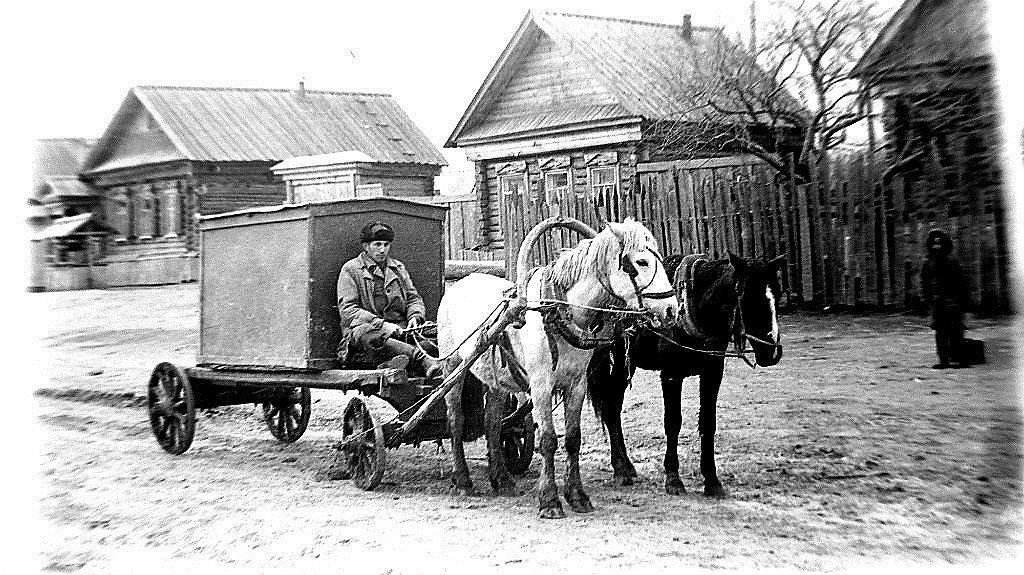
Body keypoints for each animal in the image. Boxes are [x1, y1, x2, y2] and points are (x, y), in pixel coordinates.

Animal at [436, 216, 675, 517]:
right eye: (641, 262)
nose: (673, 309)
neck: (558, 313)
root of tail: (460, 283)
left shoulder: (577, 385)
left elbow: (573, 438)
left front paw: (577, 495)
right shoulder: (540, 386)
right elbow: (548, 440)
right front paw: (549, 500)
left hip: (497, 379)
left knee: (492, 424)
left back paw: (501, 479)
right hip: (452, 367)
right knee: (455, 421)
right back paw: (463, 480)